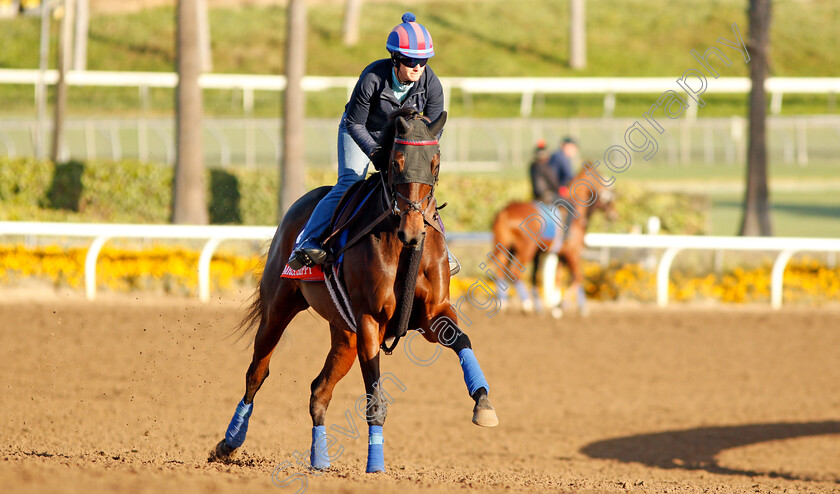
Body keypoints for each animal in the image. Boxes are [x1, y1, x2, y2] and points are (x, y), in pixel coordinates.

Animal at [213, 109, 496, 474]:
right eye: (396, 162)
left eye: (434, 163)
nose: (412, 230)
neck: (404, 247)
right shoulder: (369, 319)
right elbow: (374, 397)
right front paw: (376, 463)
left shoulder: (433, 312)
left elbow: (461, 340)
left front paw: (483, 403)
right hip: (279, 307)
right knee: (256, 373)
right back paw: (230, 441)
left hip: (344, 335)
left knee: (319, 390)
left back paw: (319, 459)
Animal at [492, 166, 616, 318]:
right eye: (610, 194)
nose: (614, 215)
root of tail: (505, 211)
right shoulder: (572, 254)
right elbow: (578, 277)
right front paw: (561, 306)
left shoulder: (560, 255)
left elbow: (558, 278)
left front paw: (557, 307)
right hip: (526, 250)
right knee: (514, 273)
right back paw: (527, 305)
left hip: (507, 249)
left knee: (500, 271)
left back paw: (505, 304)